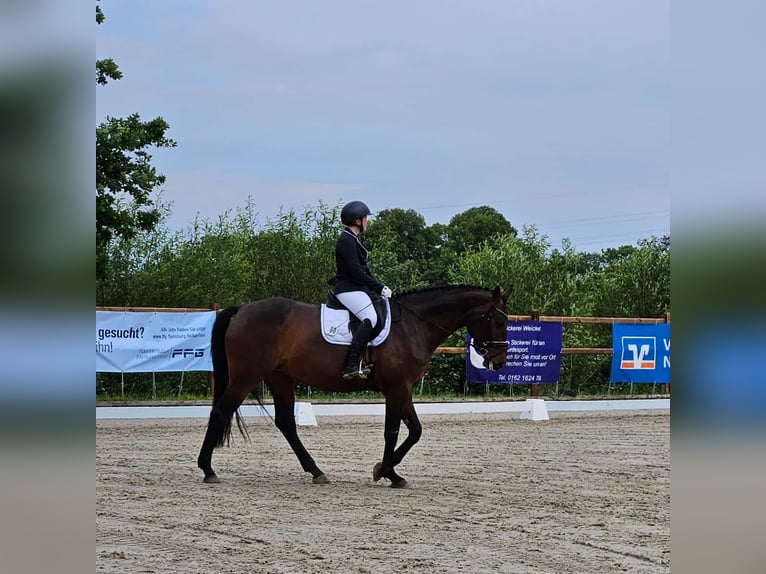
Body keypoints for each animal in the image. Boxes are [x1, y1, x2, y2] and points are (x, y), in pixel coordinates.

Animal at [197, 284, 511, 488]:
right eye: (496, 319)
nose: (499, 362)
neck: (413, 326)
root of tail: (241, 310)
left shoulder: (404, 388)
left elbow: (415, 430)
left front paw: (384, 469)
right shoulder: (396, 388)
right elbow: (392, 431)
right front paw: (388, 473)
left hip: (280, 377)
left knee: (286, 423)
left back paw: (316, 472)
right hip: (246, 376)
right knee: (221, 411)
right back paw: (208, 469)